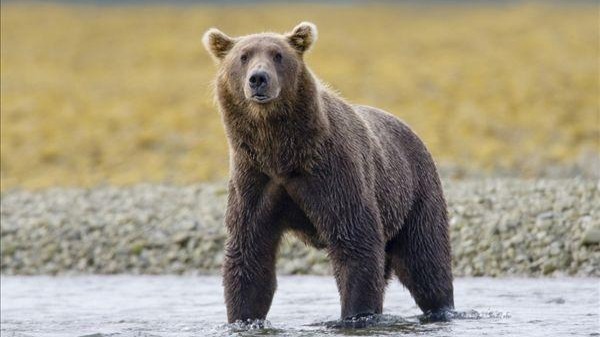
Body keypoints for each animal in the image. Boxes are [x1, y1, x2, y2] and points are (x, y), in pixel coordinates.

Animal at [204, 21, 452, 322]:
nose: (258, 79)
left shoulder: (331, 173)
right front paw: (243, 317)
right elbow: (249, 252)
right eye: (243, 56)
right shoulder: (254, 180)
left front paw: (357, 315)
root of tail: (411, 130)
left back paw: (441, 308)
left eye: (278, 55)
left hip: (415, 191)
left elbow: (355, 242)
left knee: (425, 260)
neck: (281, 153)